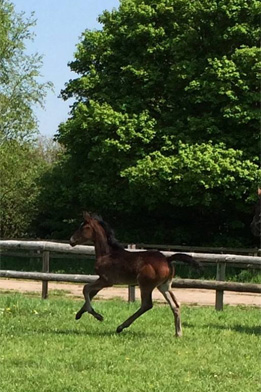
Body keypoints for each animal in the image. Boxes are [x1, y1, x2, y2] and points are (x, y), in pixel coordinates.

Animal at [69, 213, 199, 336]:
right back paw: (178, 333)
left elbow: (86, 289)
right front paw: (79, 314)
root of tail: (167, 259)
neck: (107, 254)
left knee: (147, 305)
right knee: (175, 305)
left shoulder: (107, 280)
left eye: (84, 227)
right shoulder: (103, 280)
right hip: (164, 286)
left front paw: (98, 316)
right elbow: (91, 293)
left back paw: (121, 327)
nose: (71, 240)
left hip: (145, 284)